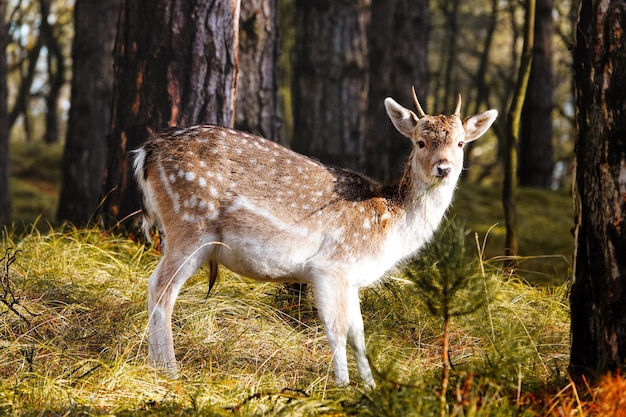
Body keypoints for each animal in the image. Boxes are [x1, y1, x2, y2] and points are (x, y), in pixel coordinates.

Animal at [134, 89, 494, 388]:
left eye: (460, 143)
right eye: (420, 142)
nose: (444, 168)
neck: (391, 226)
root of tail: (145, 152)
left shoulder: (351, 279)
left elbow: (358, 332)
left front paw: (370, 387)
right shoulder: (331, 267)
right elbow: (335, 330)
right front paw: (341, 387)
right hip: (189, 223)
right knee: (159, 287)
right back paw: (168, 369)